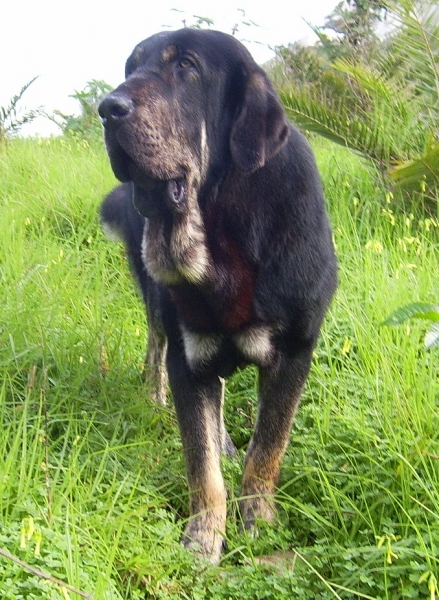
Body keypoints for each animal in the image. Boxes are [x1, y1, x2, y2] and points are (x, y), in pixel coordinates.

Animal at [99, 28, 336, 564]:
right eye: (131, 68)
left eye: (186, 67)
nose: (107, 107)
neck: (222, 228)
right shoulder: (189, 361)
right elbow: (201, 466)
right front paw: (203, 540)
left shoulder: (294, 354)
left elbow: (266, 452)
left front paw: (259, 525)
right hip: (159, 311)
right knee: (155, 346)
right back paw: (154, 396)